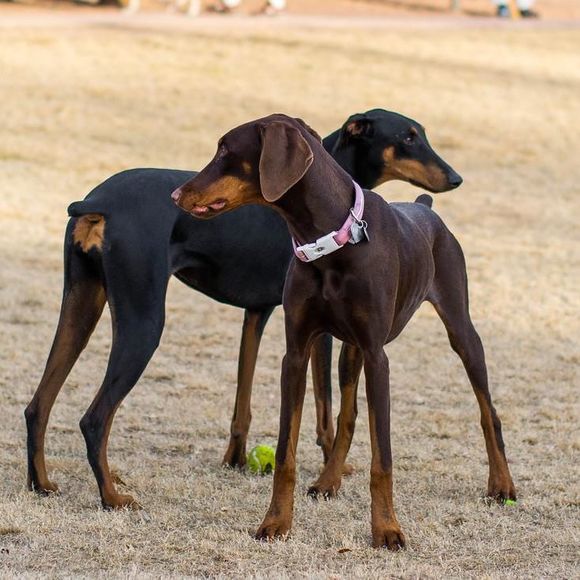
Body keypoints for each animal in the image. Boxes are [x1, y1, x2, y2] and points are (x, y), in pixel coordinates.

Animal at [172, 113, 515, 549]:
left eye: (224, 150)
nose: (175, 194)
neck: (332, 242)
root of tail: (424, 208)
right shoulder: (297, 352)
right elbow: (286, 452)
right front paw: (276, 522)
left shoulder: (377, 356)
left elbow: (382, 458)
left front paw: (387, 529)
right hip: (349, 352)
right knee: (348, 415)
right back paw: (328, 481)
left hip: (460, 328)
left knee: (489, 412)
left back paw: (502, 485)